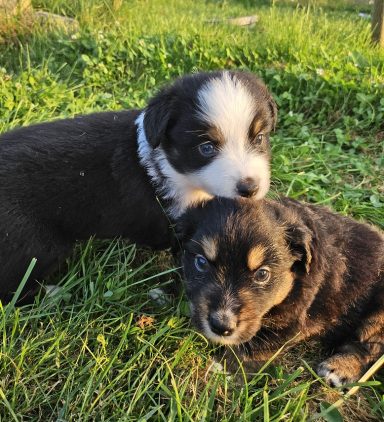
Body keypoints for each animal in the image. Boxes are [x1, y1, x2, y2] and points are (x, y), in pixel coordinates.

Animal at [0, 70, 276, 304]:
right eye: (206, 147)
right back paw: (53, 293)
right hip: (34, 245)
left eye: (260, 138)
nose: (249, 188)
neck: (169, 167)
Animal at [180, 198, 384, 386]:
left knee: (370, 347)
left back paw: (339, 368)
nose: (221, 327)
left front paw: (224, 371)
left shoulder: (292, 319)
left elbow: (256, 348)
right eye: (201, 262)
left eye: (262, 274)